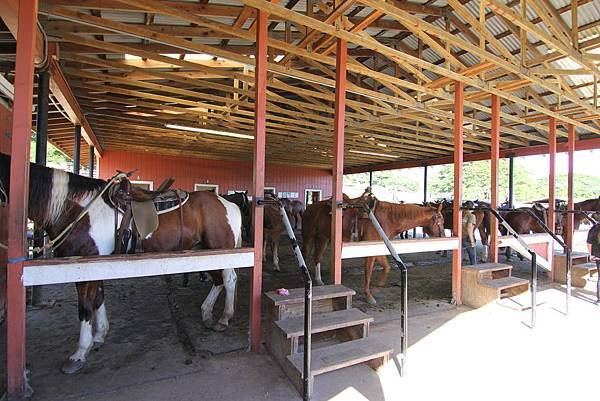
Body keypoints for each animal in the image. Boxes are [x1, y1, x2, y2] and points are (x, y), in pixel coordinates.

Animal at [1, 152, 244, 372]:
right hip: (204, 250)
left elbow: (85, 307)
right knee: (218, 280)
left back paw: (224, 318)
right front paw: (99, 336)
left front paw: (79, 353)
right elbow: (99, 299)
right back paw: (206, 313)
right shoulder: (98, 266)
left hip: (220, 249)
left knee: (229, 279)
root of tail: (228, 203)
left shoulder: (86, 265)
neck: (76, 209)